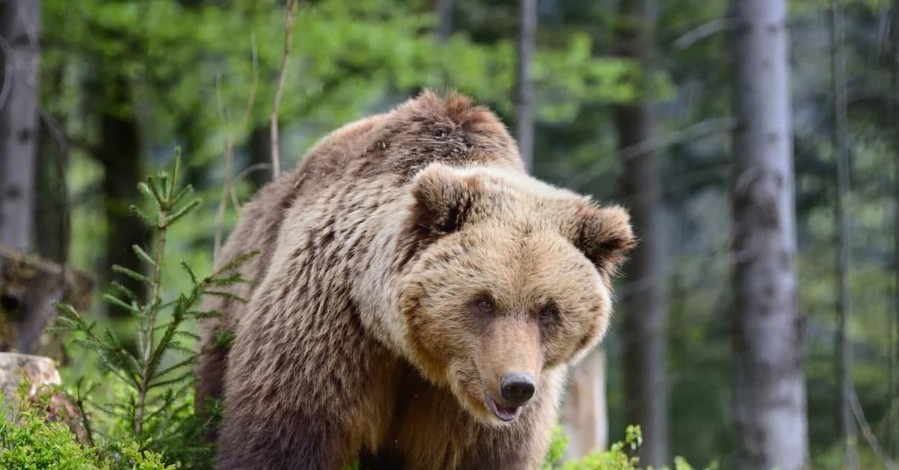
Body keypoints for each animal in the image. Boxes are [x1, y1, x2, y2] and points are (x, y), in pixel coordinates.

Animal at [199, 90, 632, 468]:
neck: (415, 354)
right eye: (484, 301)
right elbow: (282, 437)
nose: (516, 385)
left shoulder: (478, 418)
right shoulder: (329, 332)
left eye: (548, 310)